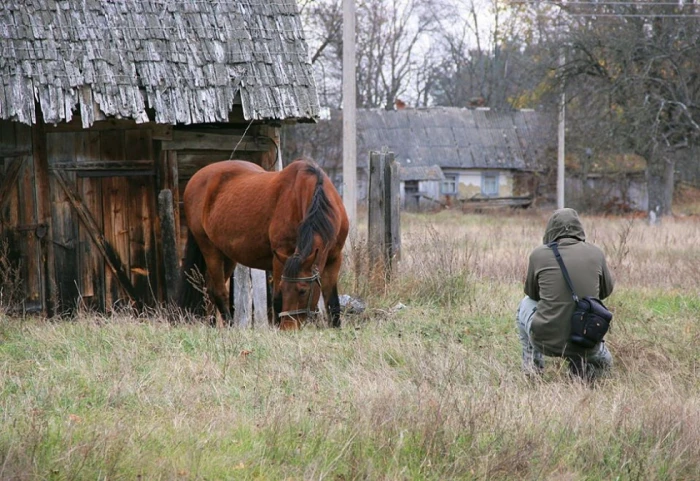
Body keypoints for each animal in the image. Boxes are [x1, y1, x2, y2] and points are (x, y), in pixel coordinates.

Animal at [178, 159, 348, 328]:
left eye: (303, 291)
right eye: (285, 288)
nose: (289, 328)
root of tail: (197, 177)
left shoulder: (333, 259)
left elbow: (333, 303)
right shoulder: (281, 256)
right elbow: (277, 299)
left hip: (227, 255)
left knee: (210, 291)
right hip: (210, 249)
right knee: (219, 292)